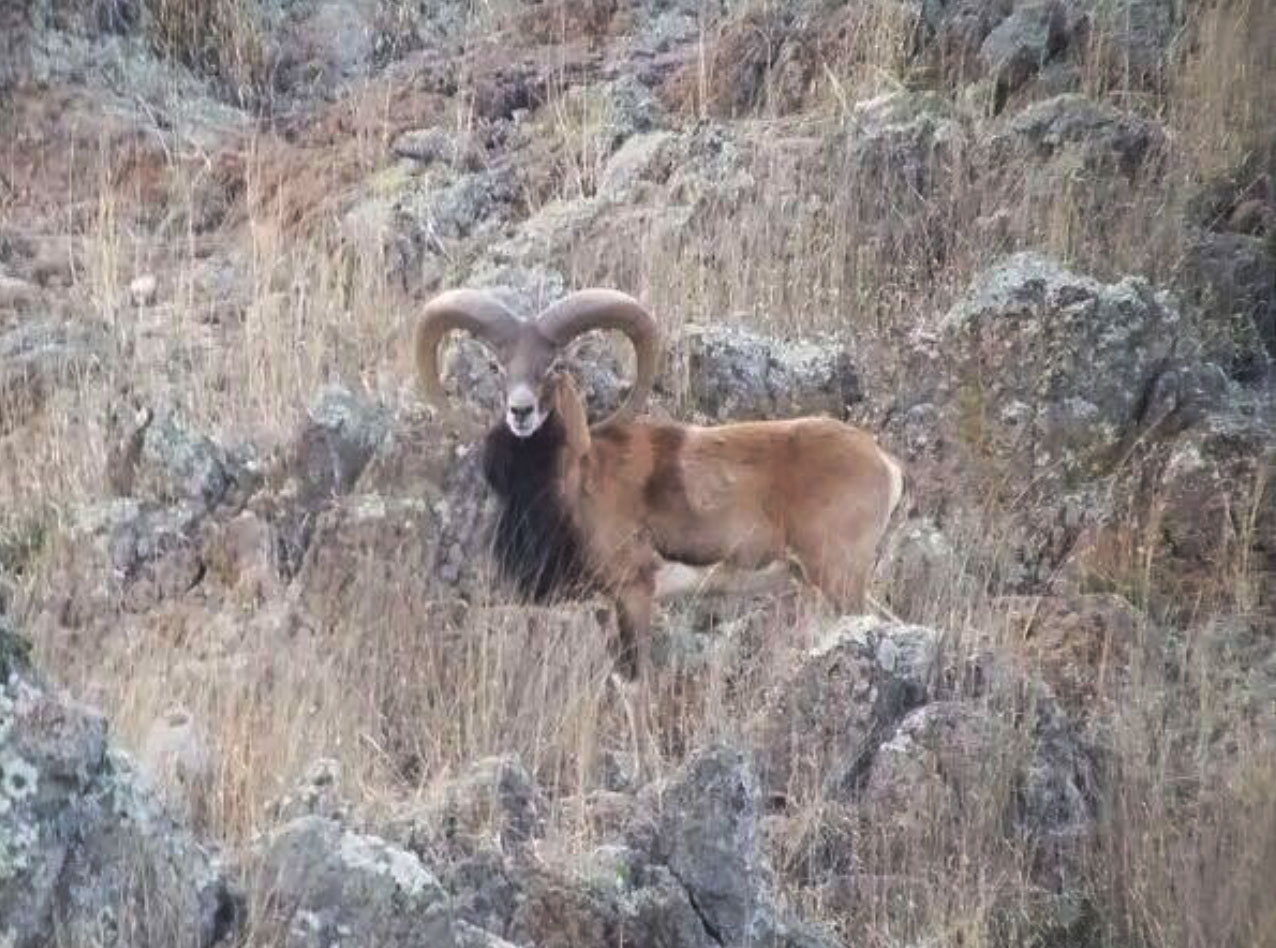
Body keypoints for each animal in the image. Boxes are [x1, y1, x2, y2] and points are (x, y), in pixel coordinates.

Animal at [415, 288, 907, 687]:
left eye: (553, 366)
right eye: (500, 367)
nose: (520, 411)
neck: (579, 483)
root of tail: (884, 464)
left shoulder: (634, 594)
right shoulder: (603, 607)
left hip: (838, 577)